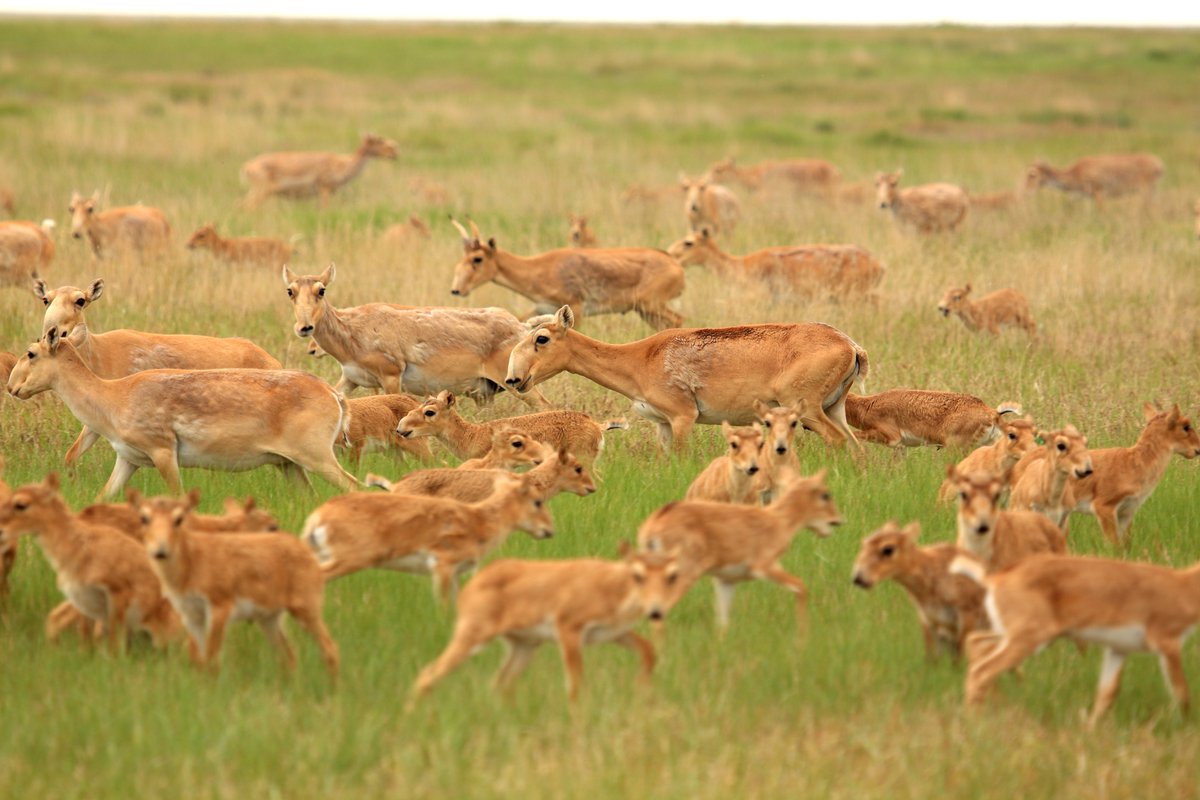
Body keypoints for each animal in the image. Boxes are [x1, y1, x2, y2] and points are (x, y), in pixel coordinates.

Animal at [238, 131, 398, 208]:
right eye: (379, 141)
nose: (395, 152)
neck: (341, 163)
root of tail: (247, 166)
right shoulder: (324, 190)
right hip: (262, 192)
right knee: (248, 206)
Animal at [448, 217, 686, 331]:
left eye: (477, 258)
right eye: (463, 255)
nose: (457, 289)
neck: (538, 268)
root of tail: (675, 264)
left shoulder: (576, 309)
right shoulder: (542, 307)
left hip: (651, 305)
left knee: (678, 318)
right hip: (645, 311)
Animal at [501, 303, 868, 450]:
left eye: (541, 339)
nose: (514, 379)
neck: (641, 358)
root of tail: (851, 346)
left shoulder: (683, 417)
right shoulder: (662, 424)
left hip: (806, 409)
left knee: (836, 441)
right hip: (834, 407)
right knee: (855, 447)